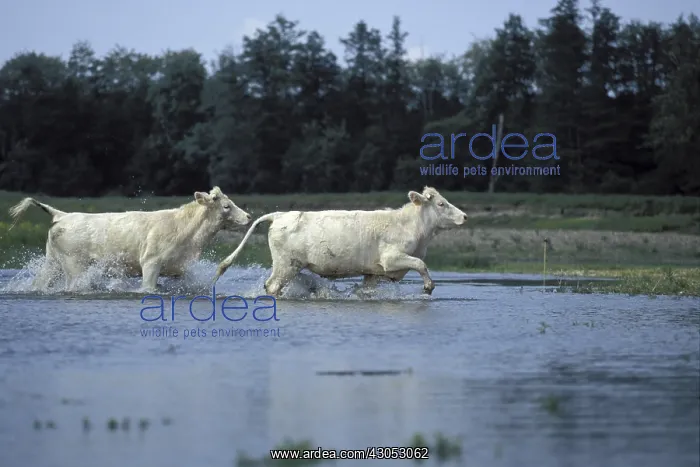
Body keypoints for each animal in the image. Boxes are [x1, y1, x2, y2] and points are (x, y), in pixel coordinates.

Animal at [8, 186, 251, 292]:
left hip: (52, 263)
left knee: (39, 283)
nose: (249, 217)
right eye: (226, 206)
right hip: (74, 266)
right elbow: (149, 288)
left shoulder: (179, 267)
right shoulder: (151, 263)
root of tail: (63, 214)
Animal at [212, 186, 468, 297]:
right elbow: (420, 264)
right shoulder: (392, 259)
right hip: (286, 265)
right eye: (441, 203)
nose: (464, 216)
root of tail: (280, 215)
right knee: (272, 286)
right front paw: (428, 286)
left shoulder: (373, 273)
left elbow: (366, 291)